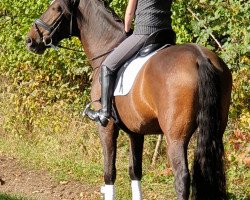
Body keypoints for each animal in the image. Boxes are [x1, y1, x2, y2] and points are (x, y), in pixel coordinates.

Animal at [25, 0, 232, 199]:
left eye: (55, 8)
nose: (30, 40)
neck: (108, 47)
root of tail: (199, 57)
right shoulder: (136, 132)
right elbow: (135, 172)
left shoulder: (106, 128)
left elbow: (109, 173)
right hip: (215, 131)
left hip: (175, 137)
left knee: (181, 179)